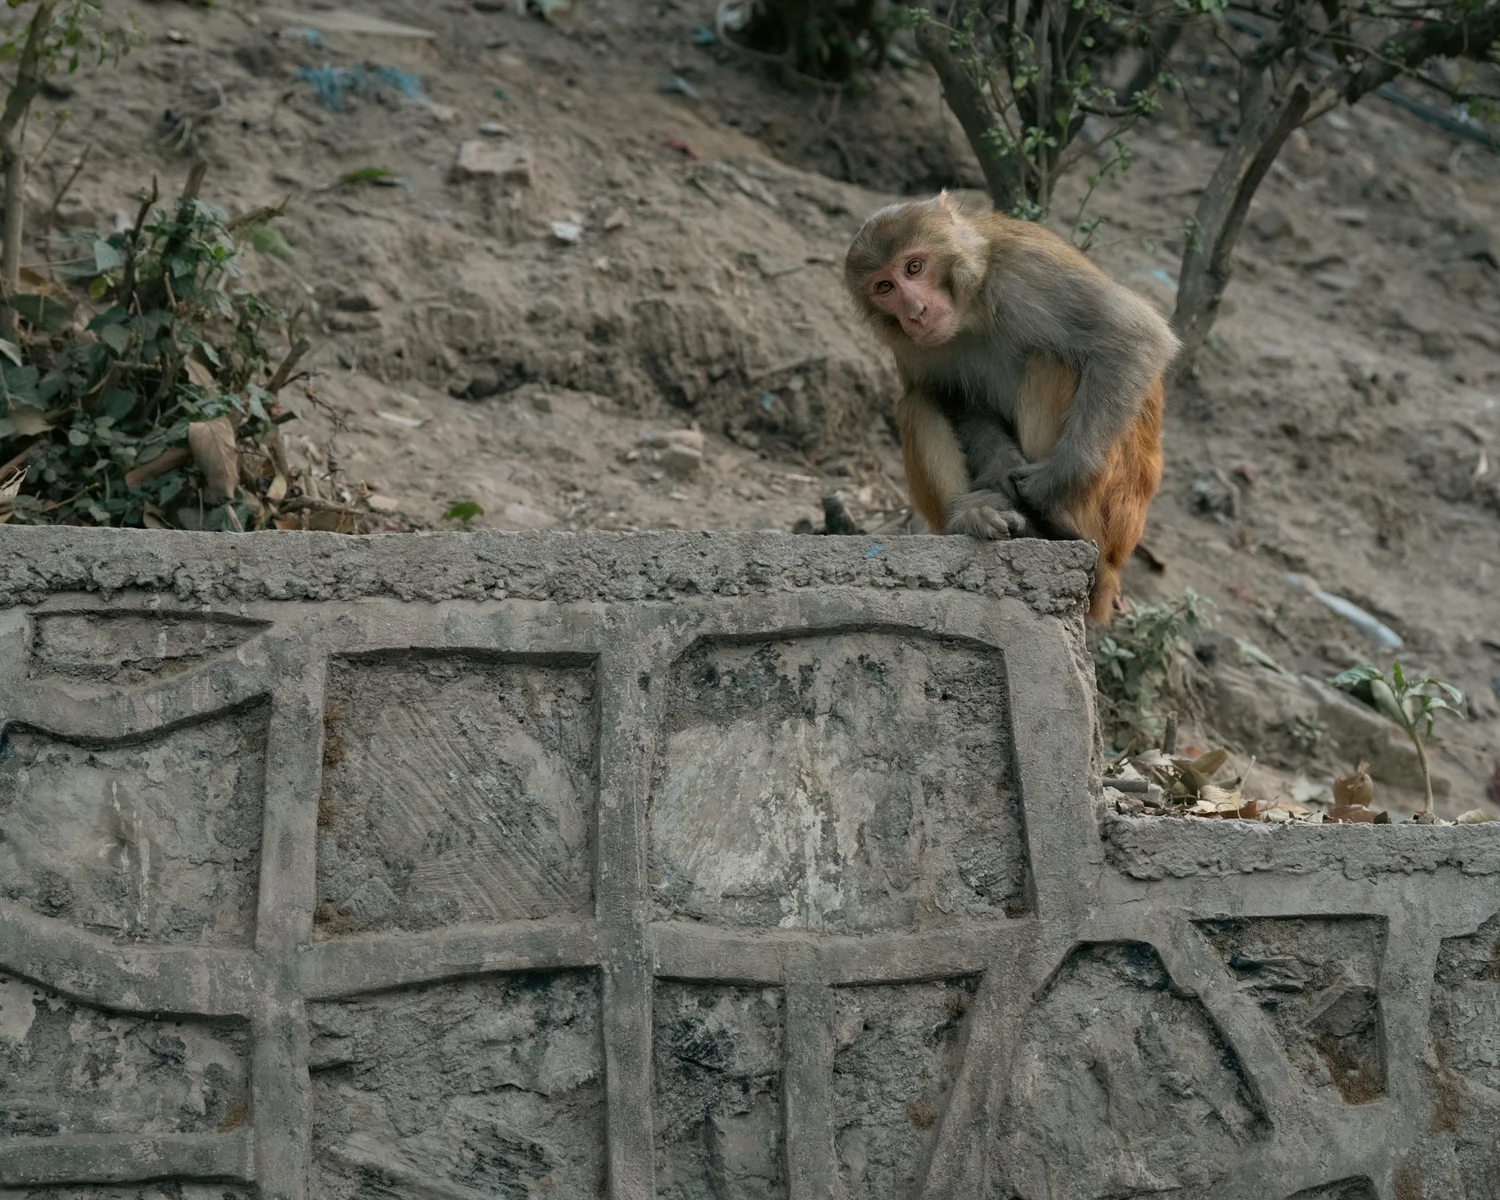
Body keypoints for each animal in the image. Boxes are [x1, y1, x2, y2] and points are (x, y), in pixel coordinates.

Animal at [844, 191, 1178, 622]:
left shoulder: (1027, 271)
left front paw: (1059, 475)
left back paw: (1054, 526)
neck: (971, 309)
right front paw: (998, 470)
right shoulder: (911, 346)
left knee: (1052, 360)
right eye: (884, 286)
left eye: (914, 267)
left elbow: (1134, 337)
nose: (915, 311)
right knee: (917, 403)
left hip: (1112, 512)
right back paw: (972, 516)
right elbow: (951, 396)